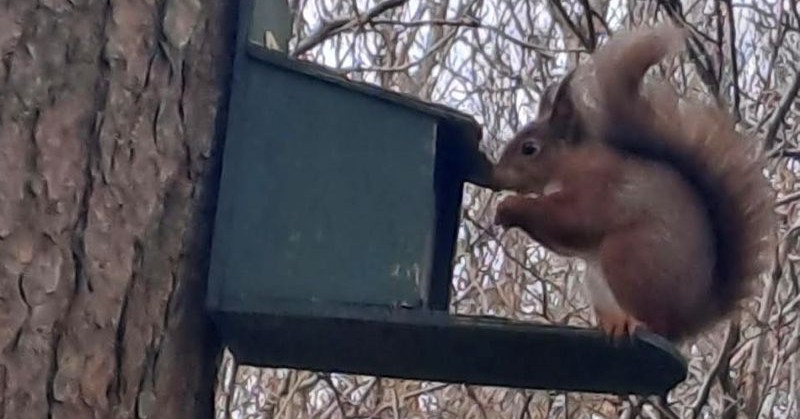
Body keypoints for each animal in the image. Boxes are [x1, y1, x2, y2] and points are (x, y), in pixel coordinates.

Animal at [490, 24, 777, 342]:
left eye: (529, 149)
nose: (494, 176)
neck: (569, 163)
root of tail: (686, 322)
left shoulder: (598, 185)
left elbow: (571, 220)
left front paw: (510, 206)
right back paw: (612, 324)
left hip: (628, 257)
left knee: (652, 319)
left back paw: (637, 323)